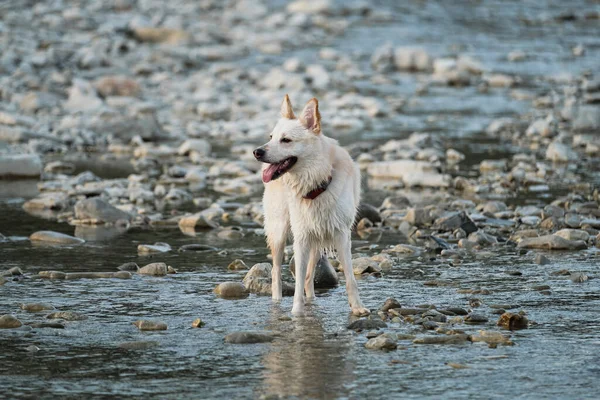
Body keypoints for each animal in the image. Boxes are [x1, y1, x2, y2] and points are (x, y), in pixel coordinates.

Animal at [252, 94, 368, 316]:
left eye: (286, 140)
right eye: (271, 137)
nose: (257, 152)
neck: (317, 183)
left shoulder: (342, 235)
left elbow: (350, 278)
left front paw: (357, 308)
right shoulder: (301, 238)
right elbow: (296, 283)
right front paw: (296, 313)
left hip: (316, 239)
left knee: (307, 277)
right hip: (280, 231)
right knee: (276, 272)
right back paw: (278, 303)